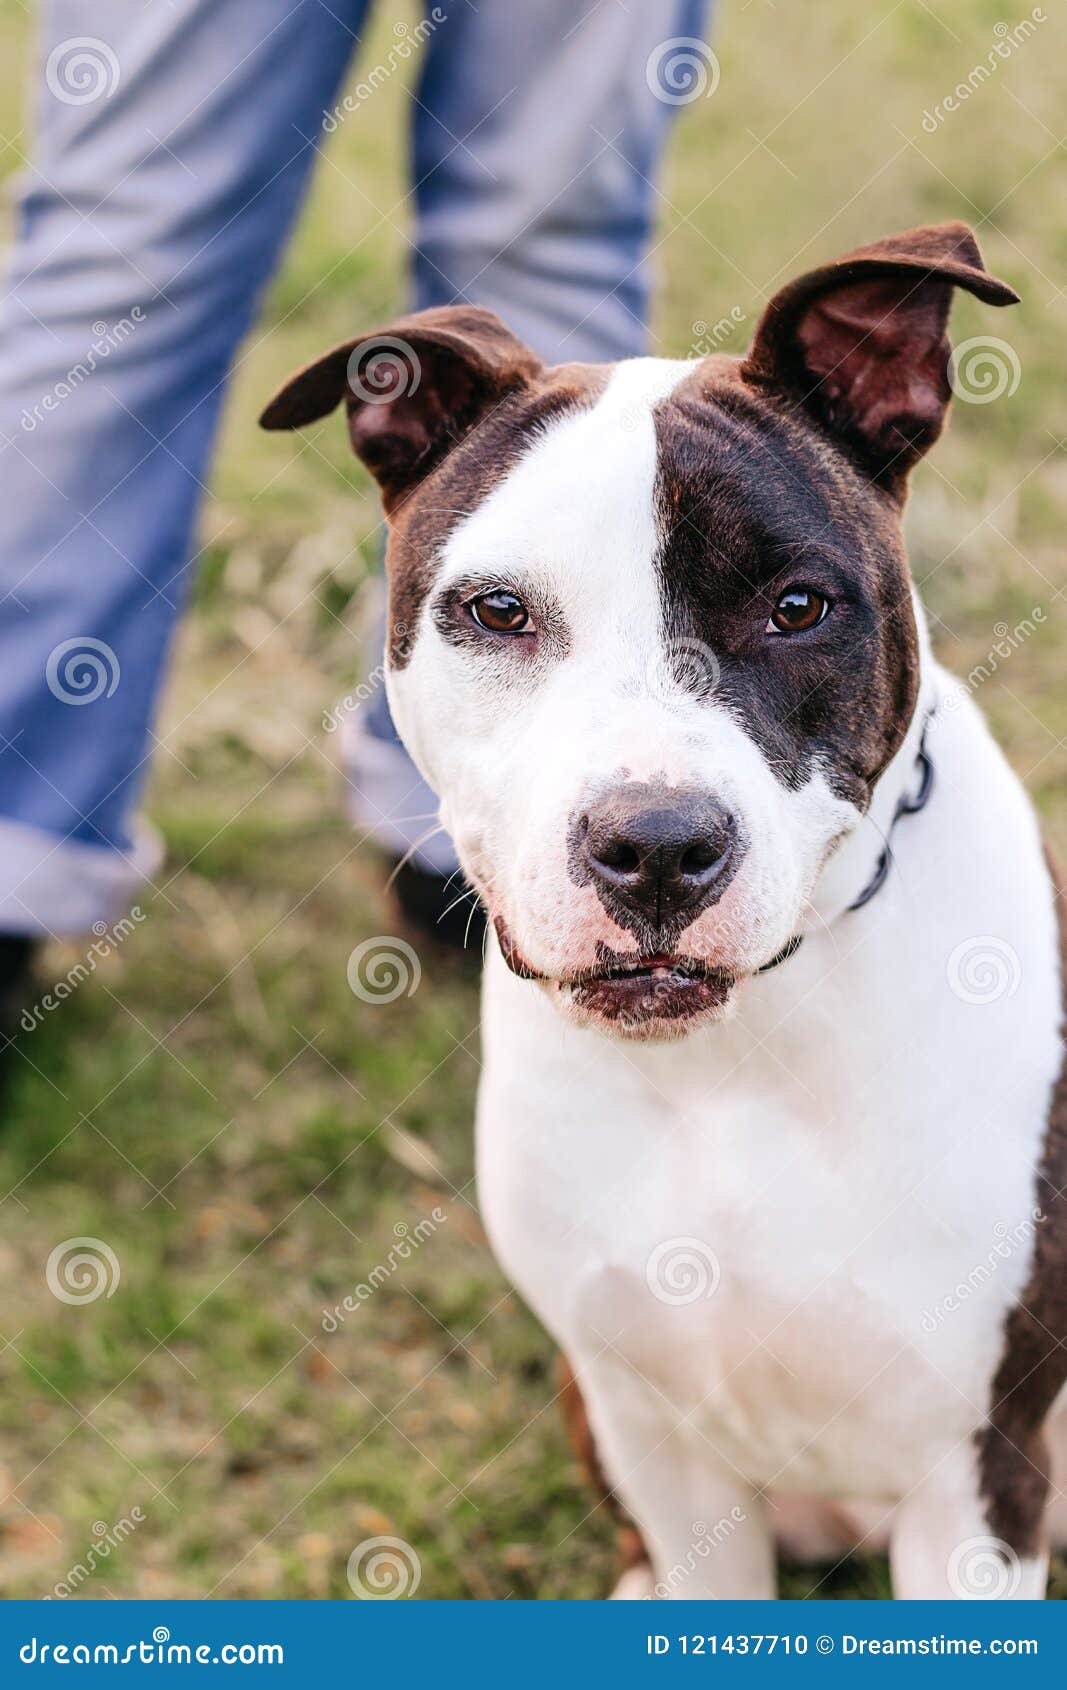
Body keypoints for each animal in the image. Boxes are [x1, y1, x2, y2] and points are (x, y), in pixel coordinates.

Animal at [260, 224, 1067, 1595]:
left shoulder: (979, 1465)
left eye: (796, 607)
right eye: (496, 613)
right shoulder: (659, 1439)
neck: (732, 1057)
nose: (653, 848)